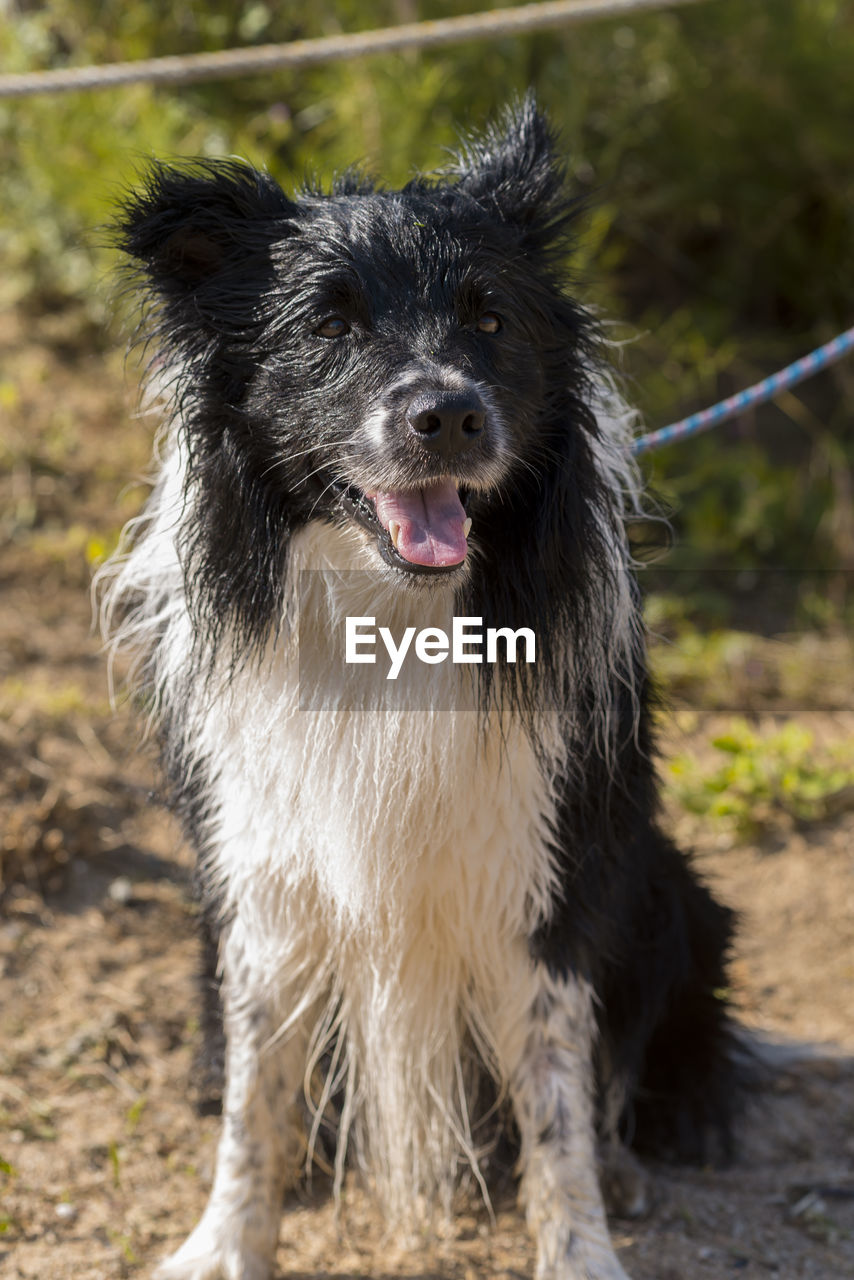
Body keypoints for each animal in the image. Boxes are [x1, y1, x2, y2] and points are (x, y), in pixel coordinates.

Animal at [103, 99, 737, 1280]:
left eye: (489, 318)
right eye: (327, 327)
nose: (446, 415)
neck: (392, 614)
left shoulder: (542, 863)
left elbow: (555, 1097)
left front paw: (578, 1245)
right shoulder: (263, 872)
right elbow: (254, 1092)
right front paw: (225, 1241)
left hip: (660, 879)